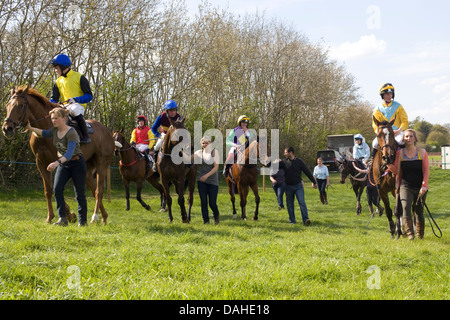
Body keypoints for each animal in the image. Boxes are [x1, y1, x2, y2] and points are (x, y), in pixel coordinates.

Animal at [2, 85, 114, 225]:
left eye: (20, 105)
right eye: (7, 105)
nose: (7, 128)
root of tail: (107, 131)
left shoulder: (58, 162)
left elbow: (57, 189)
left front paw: (70, 214)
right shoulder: (41, 163)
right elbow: (49, 190)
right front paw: (50, 217)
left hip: (101, 164)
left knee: (99, 191)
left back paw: (95, 216)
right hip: (87, 168)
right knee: (93, 190)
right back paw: (104, 216)